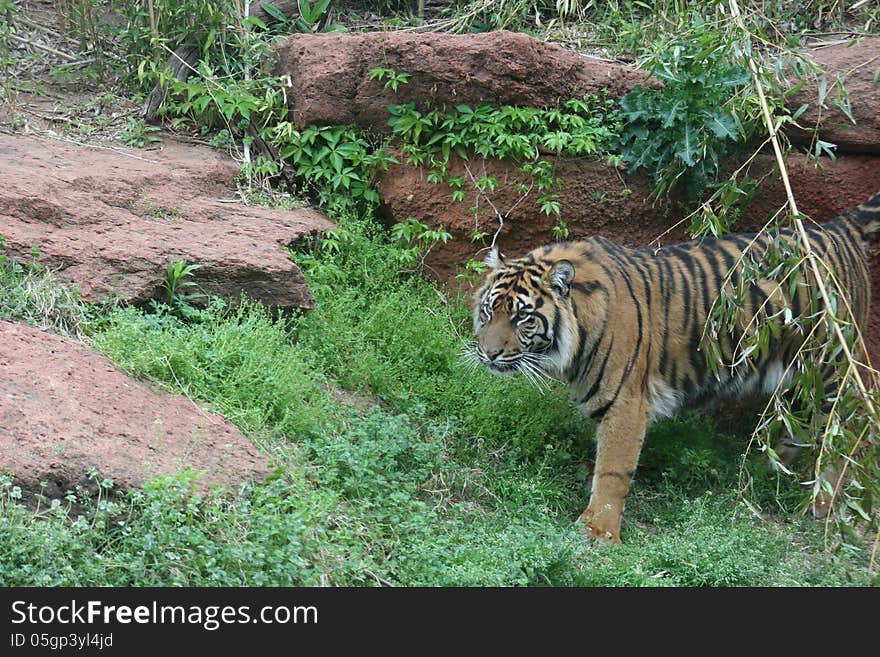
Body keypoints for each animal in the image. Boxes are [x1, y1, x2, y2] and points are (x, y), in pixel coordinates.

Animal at [470, 191, 880, 544]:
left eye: (523, 318)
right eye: (489, 311)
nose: (488, 353)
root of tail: (836, 228)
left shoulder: (625, 403)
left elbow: (613, 469)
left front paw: (598, 530)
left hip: (828, 367)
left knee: (847, 430)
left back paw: (821, 504)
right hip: (798, 378)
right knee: (801, 428)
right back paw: (768, 470)